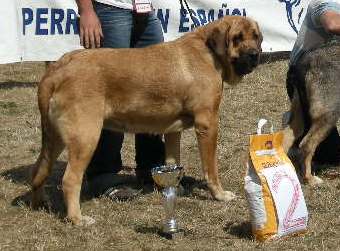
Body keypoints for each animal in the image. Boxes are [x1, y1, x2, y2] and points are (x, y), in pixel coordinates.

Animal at [31, 16, 262, 226]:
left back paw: (39, 203)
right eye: (237, 37)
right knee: (70, 180)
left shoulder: (173, 130)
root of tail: (58, 68)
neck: (209, 52)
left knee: (39, 170)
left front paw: (174, 188)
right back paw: (77, 218)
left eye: (256, 36)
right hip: (85, 137)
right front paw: (220, 195)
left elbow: (172, 160)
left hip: (54, 138)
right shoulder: (208, 124)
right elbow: (211, 168)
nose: (255, 55)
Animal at [282, 41, 340, 186]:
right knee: (306, 144)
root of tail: (302, 62)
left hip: (298, 115)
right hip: (328, 114)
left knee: (287, 137)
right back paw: (310, 178)